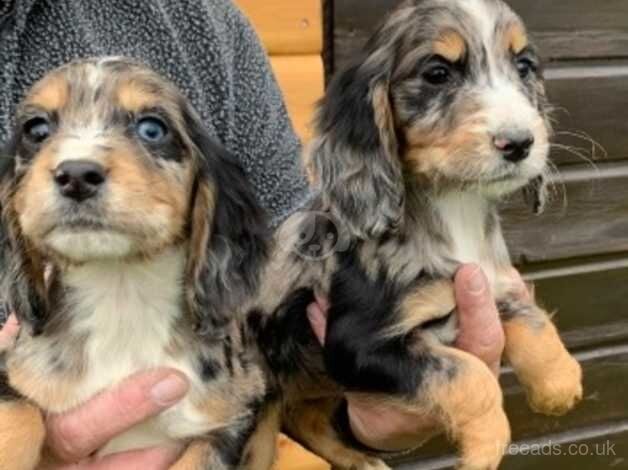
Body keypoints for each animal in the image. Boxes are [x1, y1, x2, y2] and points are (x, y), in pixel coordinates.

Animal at [0, 57, 278, 468]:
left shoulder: (229, 420)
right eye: (36, 130)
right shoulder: (11, 371)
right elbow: (19, 414)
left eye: (152, 128)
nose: (77, 175)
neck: (121, 291)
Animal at [247, 0, 584, 470]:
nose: (520, 143)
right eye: (437, 73)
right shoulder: (360, 343)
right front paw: (486, 444)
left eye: (524, 66)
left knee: (305, 417)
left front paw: (559, 384)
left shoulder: (491, 281)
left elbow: (530, 317)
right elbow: (468, 374)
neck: (453, 208)